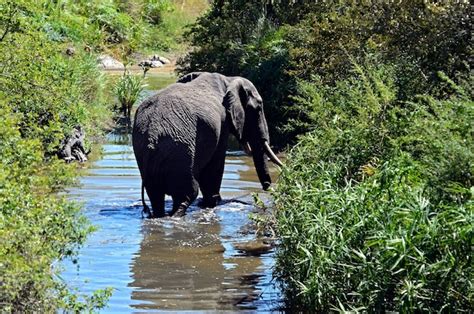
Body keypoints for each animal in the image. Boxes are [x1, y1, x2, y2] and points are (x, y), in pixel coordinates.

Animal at [131, 72, 284, 217]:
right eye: (259, 108)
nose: (267, 189)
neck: (229, 79)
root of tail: (151, 138)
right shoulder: (222, 124)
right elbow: (216, 161)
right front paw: (212, 203)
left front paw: (207, 204)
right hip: (179, 153)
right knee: (187, 194)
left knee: (156, 197)